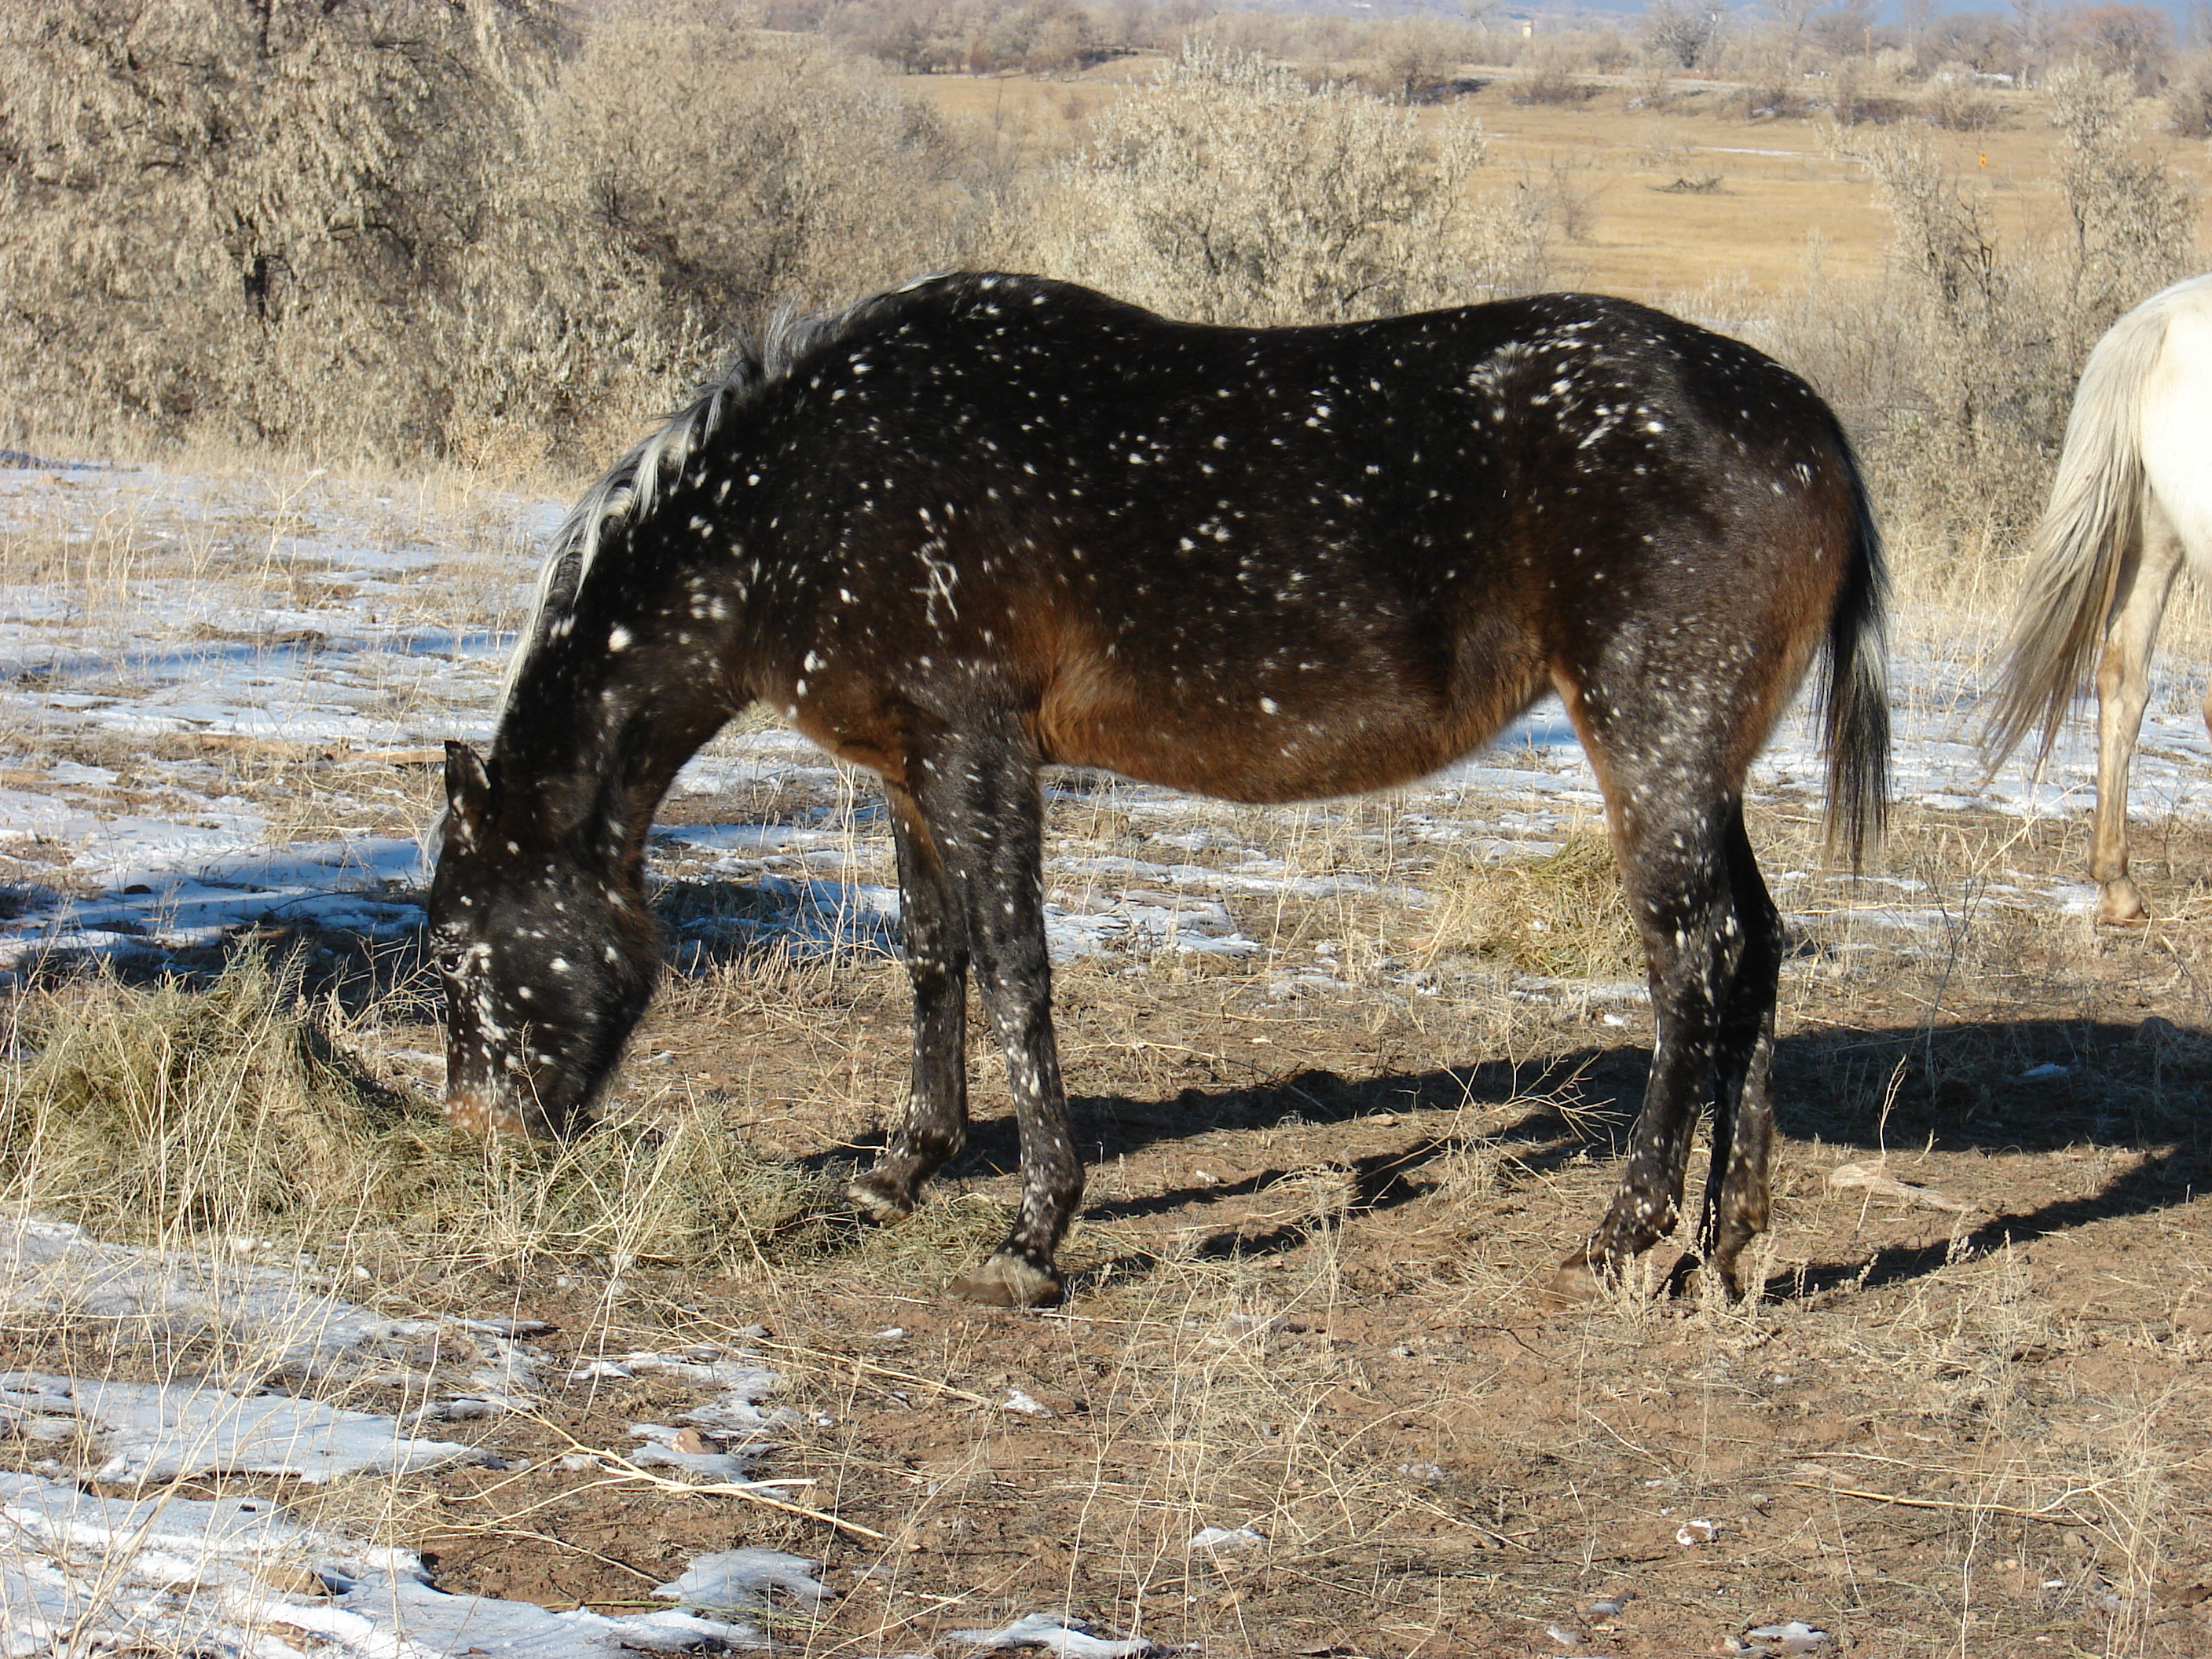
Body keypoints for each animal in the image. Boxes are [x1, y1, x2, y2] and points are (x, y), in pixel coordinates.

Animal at [427, 273, 1884, 1309]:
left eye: (451, 953)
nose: (479, 1143)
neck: (806, 492)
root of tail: (1804, 415)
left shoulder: (975, 747)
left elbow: (1014, 965)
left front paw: (1033, 1233)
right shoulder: (907, 766)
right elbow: (932, 954)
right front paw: (901, 1170)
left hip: (1652, 739)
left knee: (1692, 958)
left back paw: (1627, 1234)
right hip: (1704, 765)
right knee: (1755, 948)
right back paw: (1725, 1248)